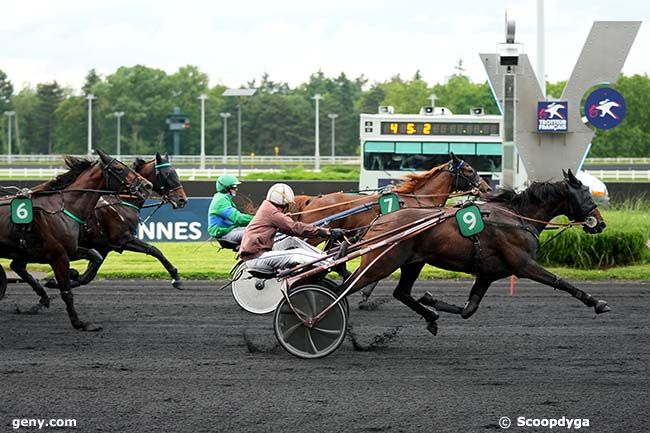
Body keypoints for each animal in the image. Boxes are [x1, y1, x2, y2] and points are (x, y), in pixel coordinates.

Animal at [0, 149, 151, 330]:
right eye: (119, 168)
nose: (147, 185)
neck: (63, 208)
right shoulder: (58, 255)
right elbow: (67, 292)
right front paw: (80, 323)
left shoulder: (74, 249)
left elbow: (94, 256)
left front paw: (73, 273)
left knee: (17, 266)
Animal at [43, 152, 189, 290]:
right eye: (166, 174)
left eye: (175, 173)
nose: (182, 200)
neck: (121, 201)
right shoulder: (124, 239)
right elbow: (155, 250)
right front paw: (176, 278)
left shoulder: (104, 247)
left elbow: (87, 277)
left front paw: (56, 281)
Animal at [340, 169, 608, 334]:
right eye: (586, 193)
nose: (600, 223)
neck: (517, 218)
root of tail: (380, 220)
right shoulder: (522, 265)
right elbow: (560, 281)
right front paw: (597, 302)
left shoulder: (487, 274)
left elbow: (469, 309)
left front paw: (431, 301)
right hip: (382, 263)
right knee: (347, 287)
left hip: (412, 262)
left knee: (402, 293)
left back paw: (430, 317)